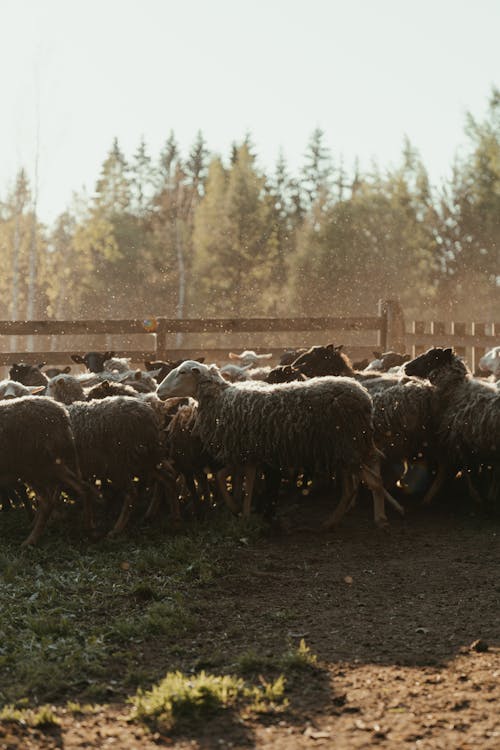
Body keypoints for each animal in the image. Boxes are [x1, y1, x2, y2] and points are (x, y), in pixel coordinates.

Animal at [158, 360, 404, 524]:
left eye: (182, 372)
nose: (159, 391)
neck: (221, 398)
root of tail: (364, 396)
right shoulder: (246, 453)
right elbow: (226, 478)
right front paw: (241, 510)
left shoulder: (244, 451)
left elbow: (239, 483)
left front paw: (241, 512)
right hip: (349, 446)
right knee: (362, 477)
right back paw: (337, 519)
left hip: (348, 444)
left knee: (372, 481)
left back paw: (378, 518)